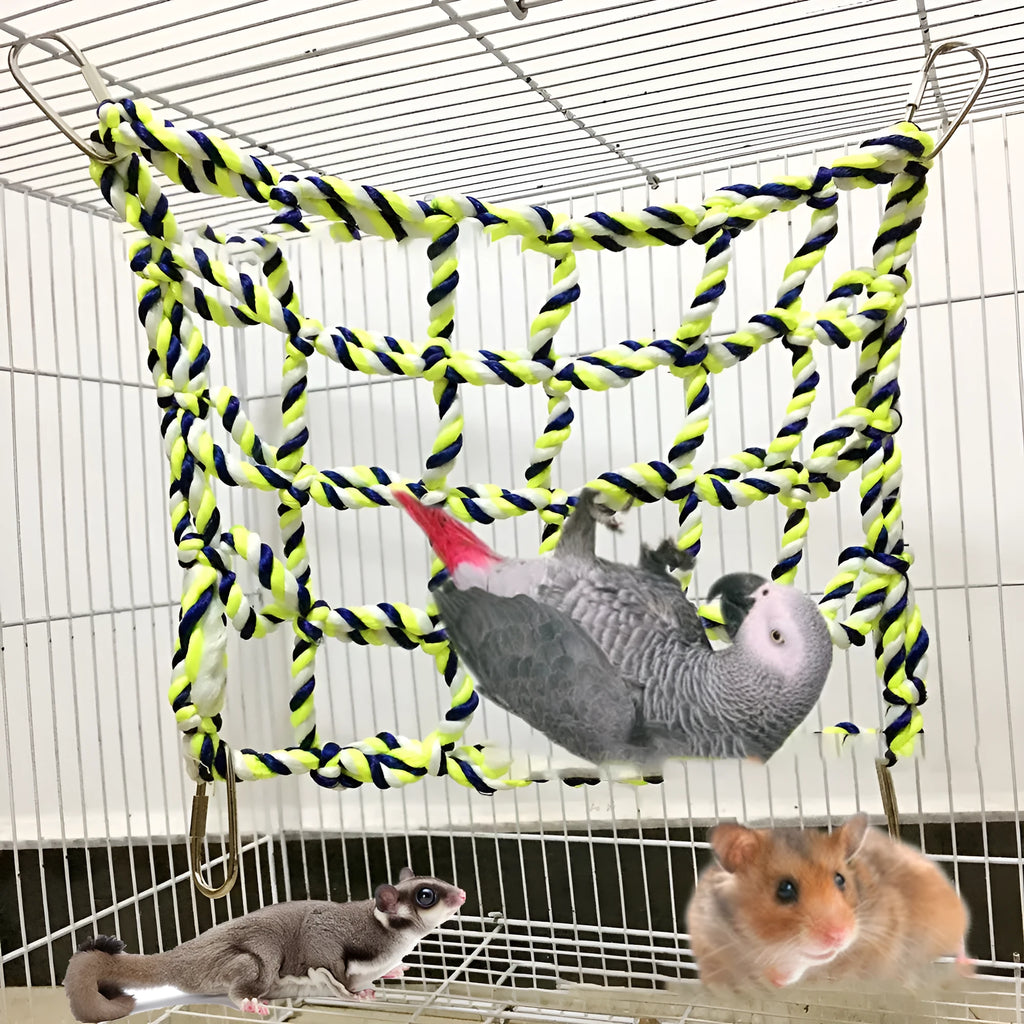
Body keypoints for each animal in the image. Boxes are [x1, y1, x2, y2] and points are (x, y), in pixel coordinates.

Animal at [64, 867, 466, 1021]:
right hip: (244, 962)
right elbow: (328, 966)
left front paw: (395, 970)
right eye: (426, 895)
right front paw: (353, 993)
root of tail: (179, 956)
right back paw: (249, 1002)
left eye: (434, 881)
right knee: (248, 973)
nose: (462, 894)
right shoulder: (329, 938)